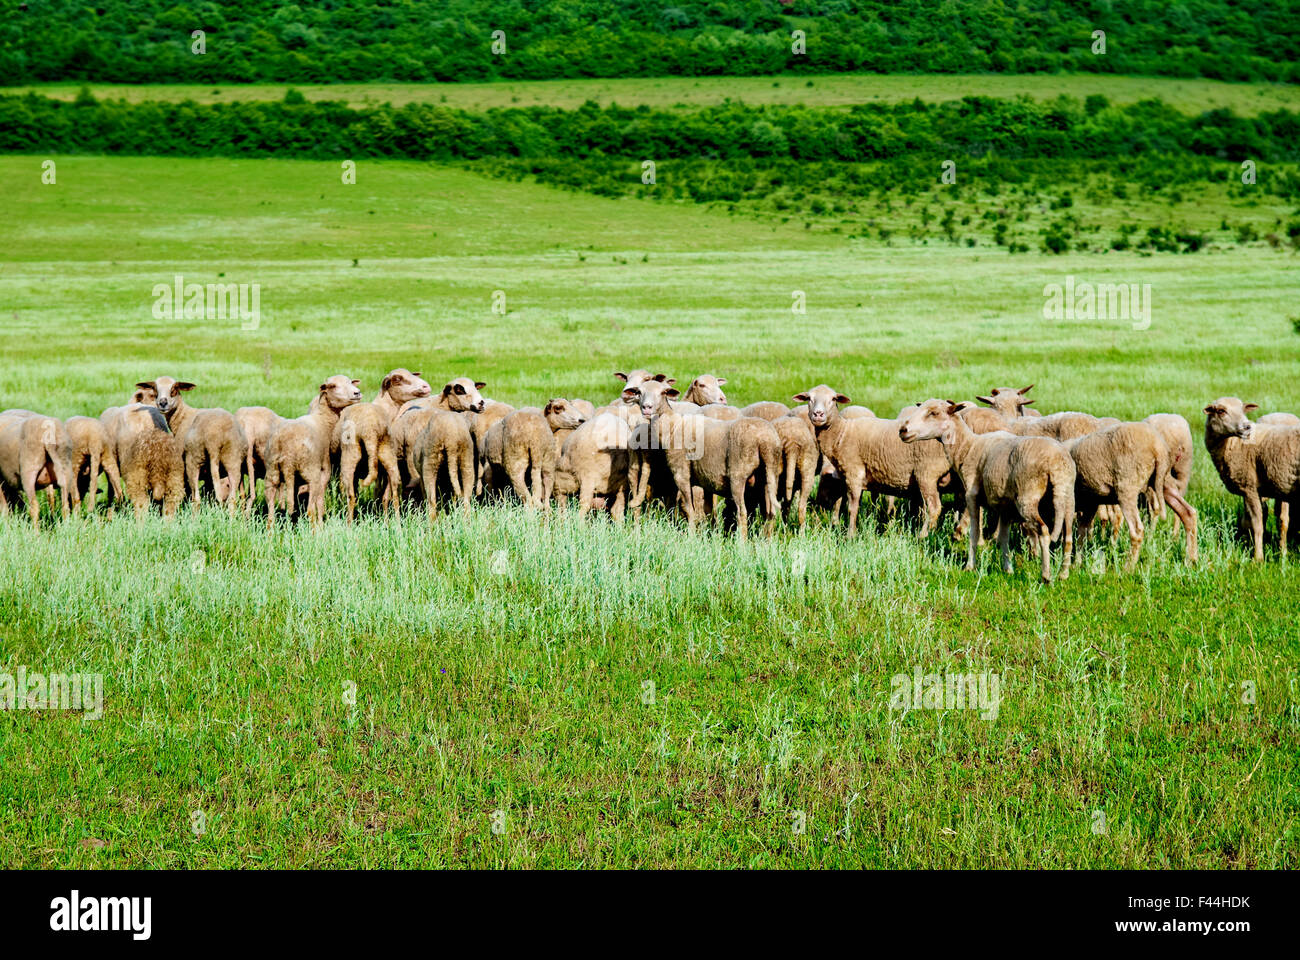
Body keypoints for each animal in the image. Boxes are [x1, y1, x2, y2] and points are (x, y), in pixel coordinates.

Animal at [262, 374, 361, 528]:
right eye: (333, 386)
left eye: (351, 382)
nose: (357, 393)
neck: (323, 421)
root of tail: (287, 450)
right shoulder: (324, 472)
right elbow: (319, 503)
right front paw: (321, 524)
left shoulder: (296, 480)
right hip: (311, 472)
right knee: (309, 510)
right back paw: (316, 530)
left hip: (272, 473)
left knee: (271, 511)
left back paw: (271, 531)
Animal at [790, 387, 956, 538]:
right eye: (809, 398)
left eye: (833, 399)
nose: (818, 414)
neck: (841, 433)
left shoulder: (854, 473)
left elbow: (852, 508)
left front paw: (850, 536)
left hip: (927, 474)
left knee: (934, 508)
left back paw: (923, 537)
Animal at [899, 395, 1071, 574]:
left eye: (934, 413)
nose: (903, 430)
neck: (967, 448)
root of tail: (1056, 462)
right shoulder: (1005, 505)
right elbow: (1003, 537)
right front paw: (1007, 568)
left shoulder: (972, 496)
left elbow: (974, 532)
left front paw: (970, 566)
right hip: (1066, 498)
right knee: (1068, 535)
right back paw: (1063, 573)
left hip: (1028, 497)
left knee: (1043, 530)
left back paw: (1046, 574)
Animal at [1060, 421, 1190, 567]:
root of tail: (1157, 445)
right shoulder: (1090, 503)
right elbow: (1081, 532)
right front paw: (1077, 564)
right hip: (1163, 481)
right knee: (1188, 512)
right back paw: (1191, 559)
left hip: (1127, 488)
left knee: (1137, 530)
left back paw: (1128, 568)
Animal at [1196, 395, 1300, 561]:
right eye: (1221, 411)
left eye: (1243, 409)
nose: (1247, 427)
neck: (1233, 444)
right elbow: (1249, 522)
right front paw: (1248, 546)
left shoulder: (1249, 487)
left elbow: (1257, 524)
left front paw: (1257, 559)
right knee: (1282, 519)